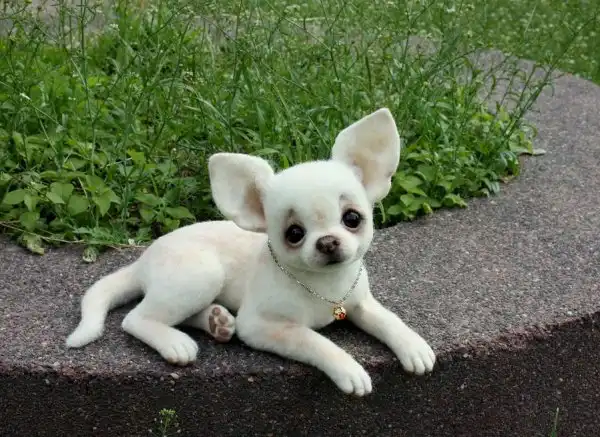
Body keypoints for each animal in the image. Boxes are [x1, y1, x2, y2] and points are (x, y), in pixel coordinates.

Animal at [66, 108, 435, 396]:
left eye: (352, 219)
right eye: (294, 234)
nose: (328, 242)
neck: (324, 285)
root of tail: (143, 260)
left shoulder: (359, 303)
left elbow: (386, 318)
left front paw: (412, 344)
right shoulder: (262, 327)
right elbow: (314, 340)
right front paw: (348, 368)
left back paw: (216, 321)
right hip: (200, 275)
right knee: (136, 318)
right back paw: (174, 341)